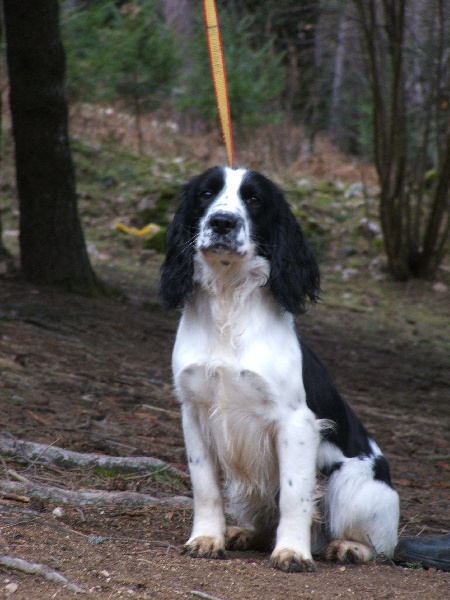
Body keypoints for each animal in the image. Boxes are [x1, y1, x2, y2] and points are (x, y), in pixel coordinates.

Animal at [159, 166, 399, 572]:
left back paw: (348, 548)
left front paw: (292, 552)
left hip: (352, 485)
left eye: (254, 199)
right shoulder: (193, 412)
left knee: (381, 546)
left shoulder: (296, 422)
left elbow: (293, 495)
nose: (222, 222)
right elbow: (205, 487)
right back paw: (242, 533)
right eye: (206, 193)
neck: (229, 302)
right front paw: (206, 539)